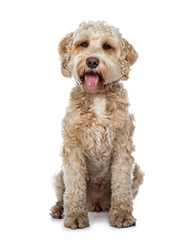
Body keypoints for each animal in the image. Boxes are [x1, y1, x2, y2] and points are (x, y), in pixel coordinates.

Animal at [50, 21, 143, 230]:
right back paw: (60, 209)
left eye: (107, 46)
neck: (97, 96)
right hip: (60, 175)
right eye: (83, 44)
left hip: (137, 171)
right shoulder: (73, 148)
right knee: (63, 194)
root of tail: (96, 204)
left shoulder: (122, 146)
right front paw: (75, 216)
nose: (92, 61)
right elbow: (74, 186)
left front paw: (122, 215)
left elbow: (121, 184)